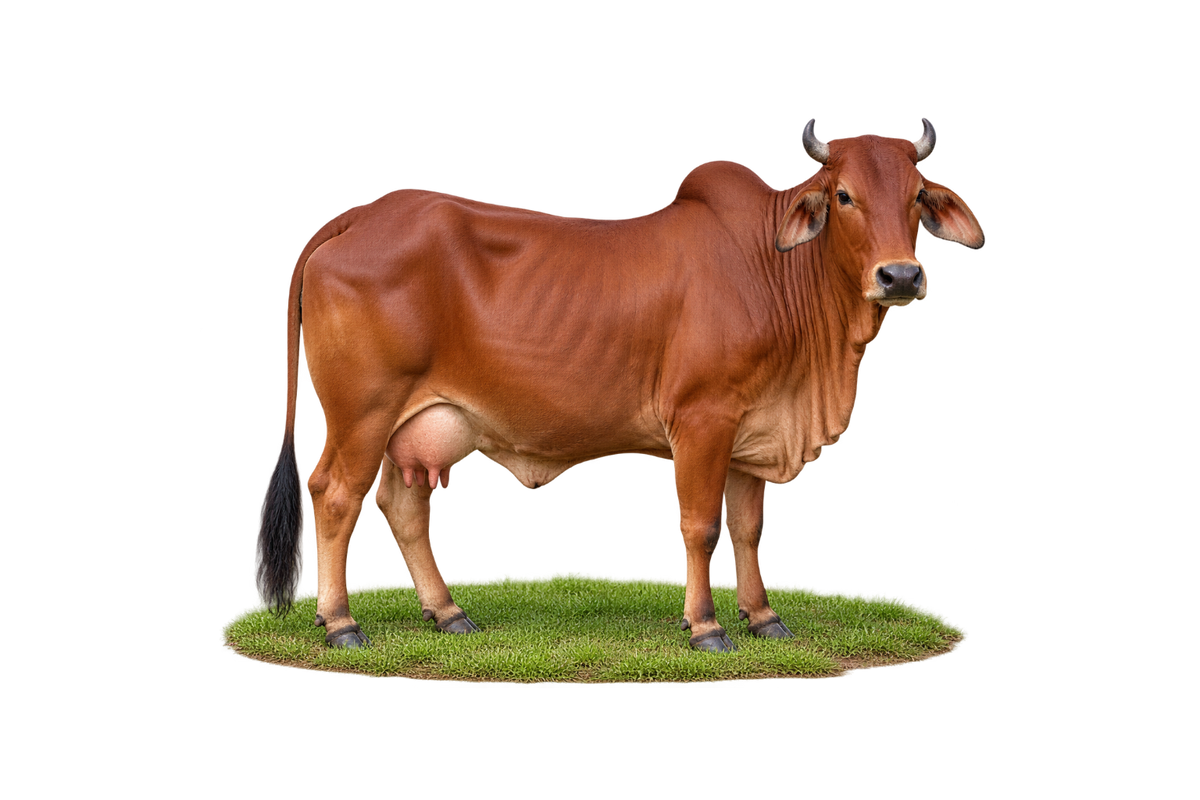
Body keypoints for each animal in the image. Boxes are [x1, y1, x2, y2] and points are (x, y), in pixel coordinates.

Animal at [255, 116, 986, 652]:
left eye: (917, 197)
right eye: (843, 196)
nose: (900, 276)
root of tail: (363, 215)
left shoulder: (754, 429)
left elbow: (750, 530)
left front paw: (764, 619)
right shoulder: (703, 420)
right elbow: (701, 527)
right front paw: (707, 627)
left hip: (411, 424)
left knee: (405, 509)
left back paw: (449, 613)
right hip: (362, 413)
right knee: (335, 498)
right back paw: (342, 624)